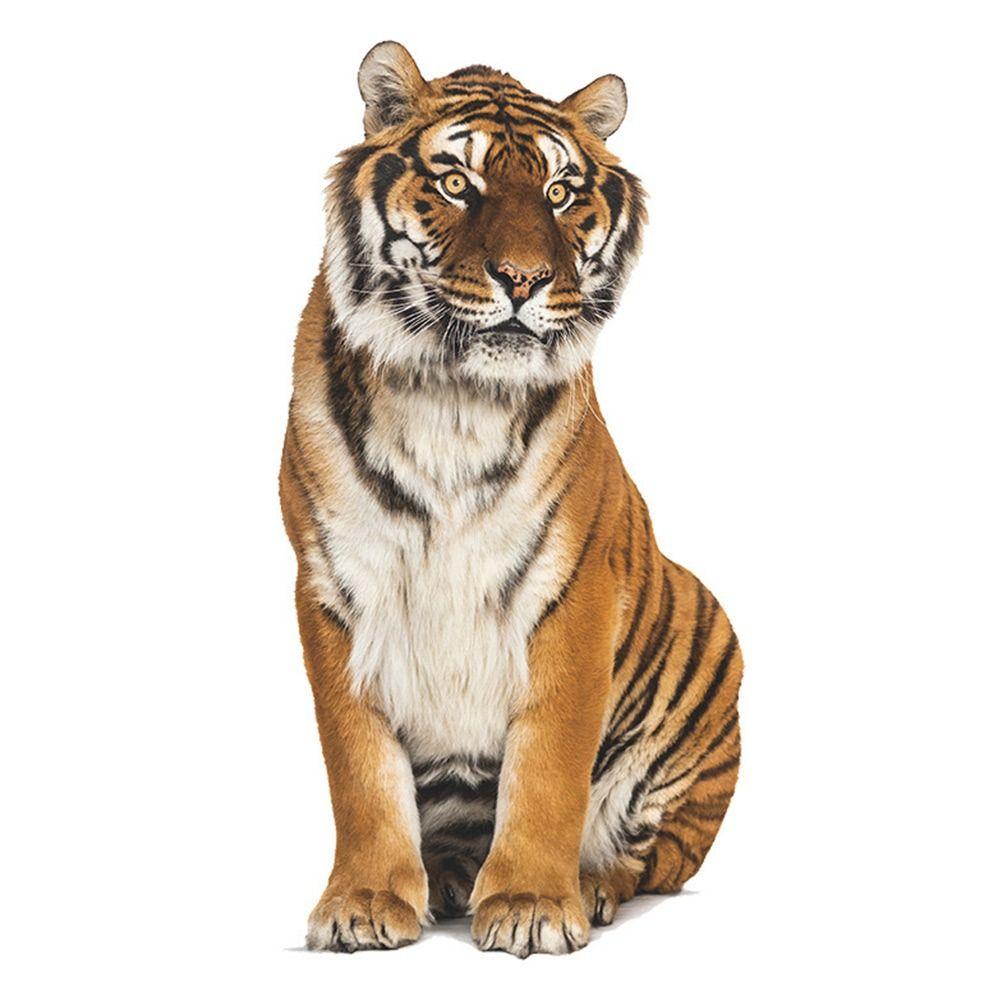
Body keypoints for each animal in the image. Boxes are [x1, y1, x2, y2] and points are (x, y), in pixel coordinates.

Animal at [279, 41, 743, 958]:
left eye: (560, 194)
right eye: (458, 182)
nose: (524, 280)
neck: (452, 398)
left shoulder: (574, 590)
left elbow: (551, 765)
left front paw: (531, 902)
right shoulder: (334, 585)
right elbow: (359, 766)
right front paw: (364, 902)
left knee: (653, 858)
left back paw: (587, 885)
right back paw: (450, 877)